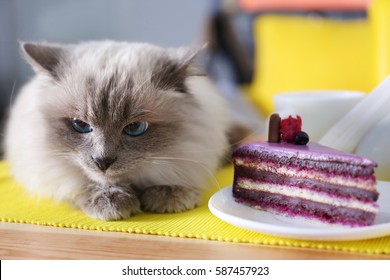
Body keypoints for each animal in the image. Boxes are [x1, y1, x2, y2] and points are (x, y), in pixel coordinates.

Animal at [4, 41, 235, 221]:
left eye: (135, 128)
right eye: (80, 125)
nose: (102, 161)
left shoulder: (190, 149)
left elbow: (174, 174)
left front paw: (169, 196)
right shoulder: (49, 167)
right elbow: (81, 184)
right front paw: (111, 201)